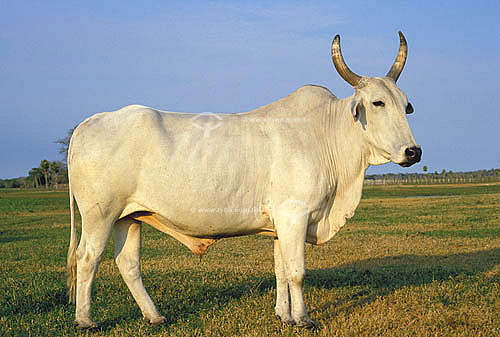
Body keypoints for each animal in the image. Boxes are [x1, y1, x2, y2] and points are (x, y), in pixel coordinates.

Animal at [66, 32, 422, 328]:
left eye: (406, 105)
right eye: (377, 102)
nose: (413, 151)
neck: (325, 134)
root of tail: (90, 122)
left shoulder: (281, 224)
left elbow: (281, 270)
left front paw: (283, 315)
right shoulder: (295, 215)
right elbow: (296, 272)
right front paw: (303, 319)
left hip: (129, 217)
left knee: (128, 263)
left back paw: (154, 316)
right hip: (100, 215)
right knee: (87, 258)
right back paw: (85, 320)